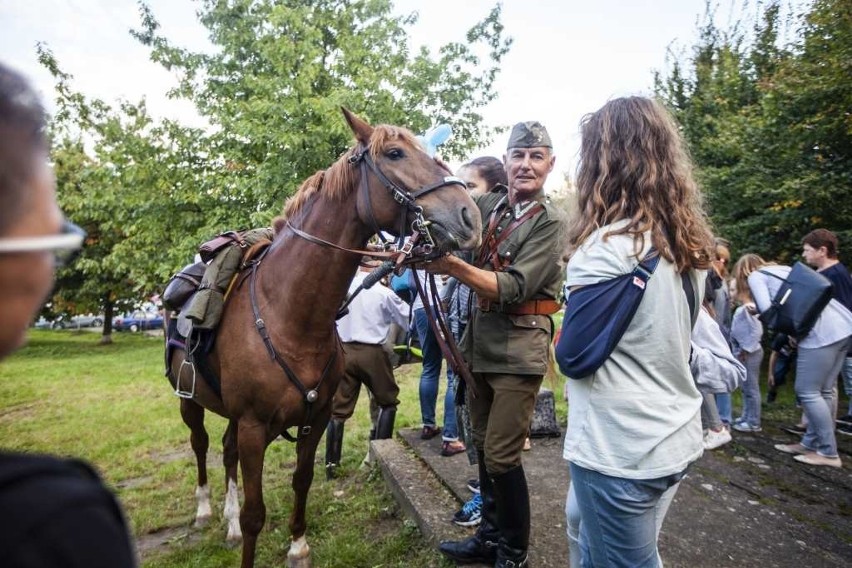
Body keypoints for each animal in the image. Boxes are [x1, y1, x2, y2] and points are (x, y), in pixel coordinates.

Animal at [168, 107, 480, 568]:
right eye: (395, 153)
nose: (469, 215)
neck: (289, 316)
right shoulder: (254, 426)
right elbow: (255, 512)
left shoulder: (312, 420)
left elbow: (303, 479)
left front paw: (298, 546)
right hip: (189, 400)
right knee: (201, 444)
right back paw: (206, 509)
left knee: (224, 450)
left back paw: (226, 520)